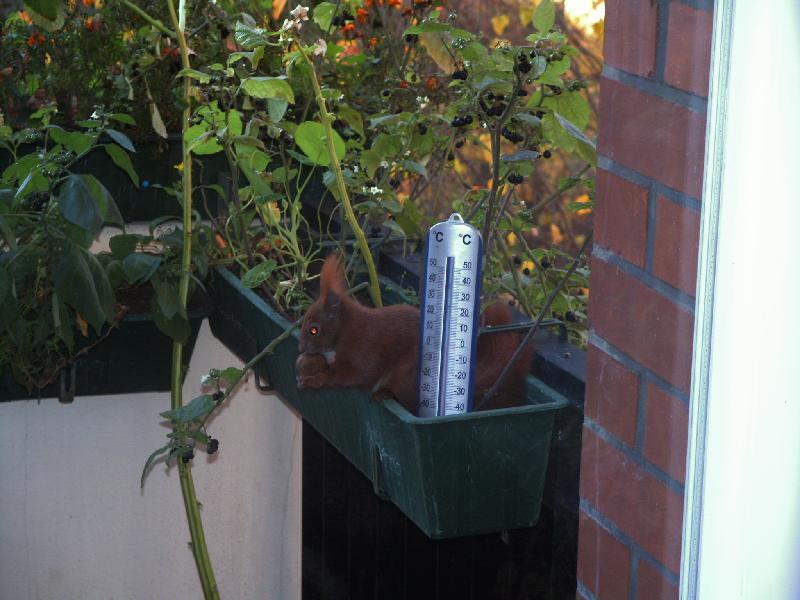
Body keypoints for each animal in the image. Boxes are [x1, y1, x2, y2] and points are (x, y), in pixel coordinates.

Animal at [295, 254, 532, 414]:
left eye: (314, 330)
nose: (301, 348)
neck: (344, 330)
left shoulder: (364, 347)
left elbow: (355, 375)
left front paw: (318, 379)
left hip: (406, 373)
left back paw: (384, 394)